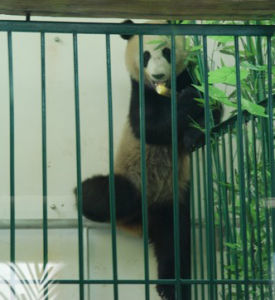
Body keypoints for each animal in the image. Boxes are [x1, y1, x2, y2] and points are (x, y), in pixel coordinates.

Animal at [78, 19, 223, 298]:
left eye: (167, 52)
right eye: (144, 56)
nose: (157, 76)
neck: (166, 90)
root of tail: (137, 223)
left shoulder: (194, 76)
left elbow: (212, 109)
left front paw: (193, 134)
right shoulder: (140, 94)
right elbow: (149, 125)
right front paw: (186, 102)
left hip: (172, 202)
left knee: (174, 242)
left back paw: (171, 287)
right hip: (130, 180)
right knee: (103, 194)